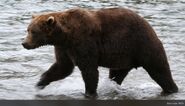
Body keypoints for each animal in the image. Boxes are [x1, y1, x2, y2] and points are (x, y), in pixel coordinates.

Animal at [21, 7, 178, 97]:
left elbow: (89, 70)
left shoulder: (83, 41)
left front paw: (89, 93)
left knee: (159, 70)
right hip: (123, 56)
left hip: (142, 45)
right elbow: (62, 67)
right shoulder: (64, 48)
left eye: (33, 31)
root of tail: (150, 27)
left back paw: (171, 89)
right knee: (116, 74)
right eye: (28, 29)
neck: (64, 35)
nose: (24, 43)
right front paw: (40, 83)